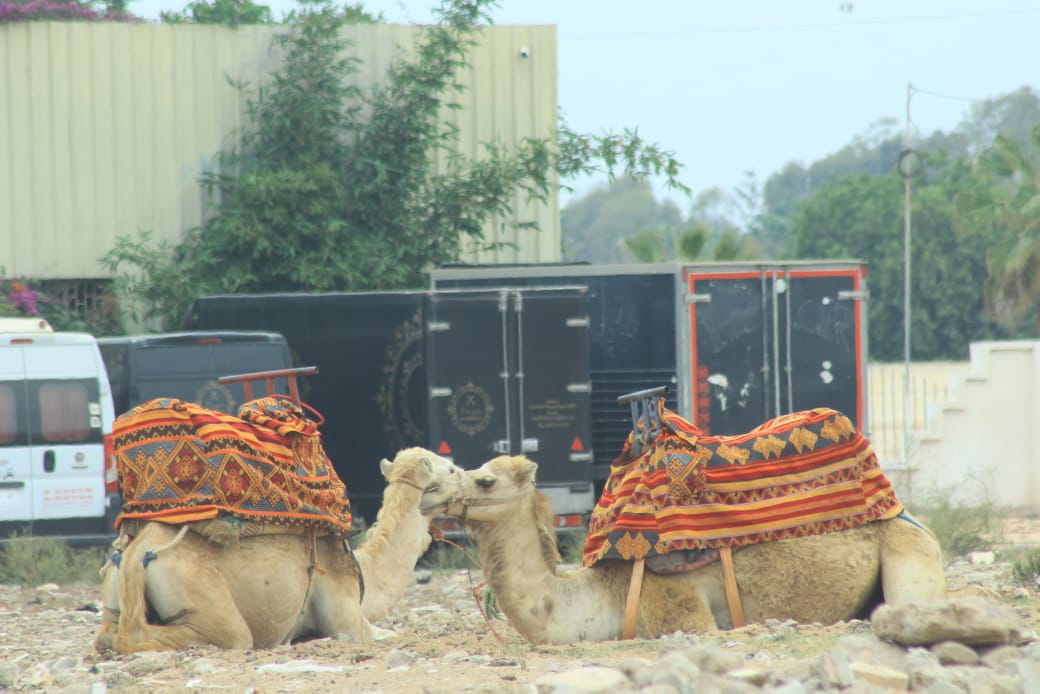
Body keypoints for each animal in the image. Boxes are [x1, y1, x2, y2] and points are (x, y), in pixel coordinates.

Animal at [94, 447, 462, 653]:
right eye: (450, 468)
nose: (469, 477)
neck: (363, 569)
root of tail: (139, 551)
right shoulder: (347, 620)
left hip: (114, 591)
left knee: (107, 633)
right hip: (207, 602)